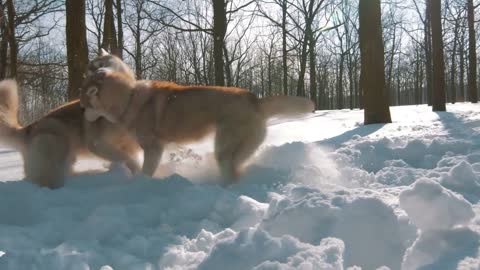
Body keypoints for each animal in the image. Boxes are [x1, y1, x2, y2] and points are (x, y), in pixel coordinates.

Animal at [81, 67, 316, 184]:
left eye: (84, 105)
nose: (81, 114)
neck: (129, 99)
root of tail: (254, 99)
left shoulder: (153, 148)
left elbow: (146, 171)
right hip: (237, 149)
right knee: (238, 168)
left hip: (224, 148)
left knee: (231, 172)